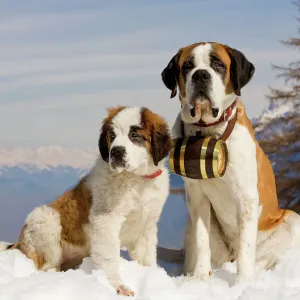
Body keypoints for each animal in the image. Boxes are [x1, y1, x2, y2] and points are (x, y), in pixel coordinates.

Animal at [0, 105, 171, 296]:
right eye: (112, 136)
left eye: (134, 135)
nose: (116, 151)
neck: (137, 179)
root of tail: (19, 244)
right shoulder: (106, 221)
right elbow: (110, 254)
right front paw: (117, 285)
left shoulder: (146, 225)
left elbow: (146, 256)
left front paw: (152, 279)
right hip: (45, 217)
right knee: (42, 265)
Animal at [162, 41, 300, 282]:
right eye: (187, 66)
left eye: (218, 64)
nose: (200, 75)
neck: (208, 131)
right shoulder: (196, 199)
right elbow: (202, 240)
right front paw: (200, 278)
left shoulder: (246, 198)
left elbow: (246, 248)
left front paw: (243, 284)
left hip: (292, 220)